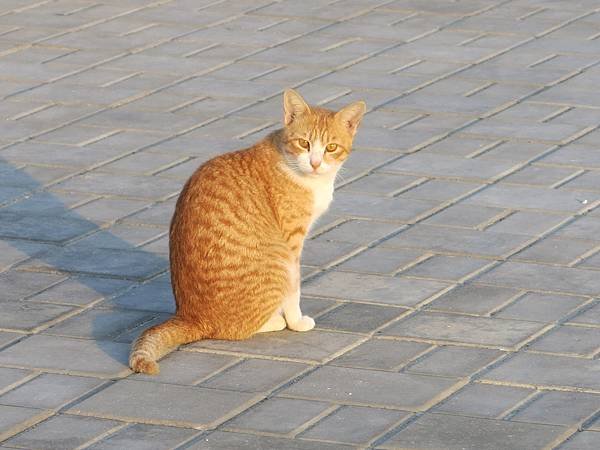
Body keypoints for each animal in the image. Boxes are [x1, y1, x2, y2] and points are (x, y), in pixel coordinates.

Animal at [130, 88, 366, 372]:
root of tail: (191, 316)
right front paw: (296, 321)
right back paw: (275, 321)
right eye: (304, 143)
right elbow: (294, 289)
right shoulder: (292, 243)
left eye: (331, 147)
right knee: (233, 330)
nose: (316, 163)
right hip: (277, 261)